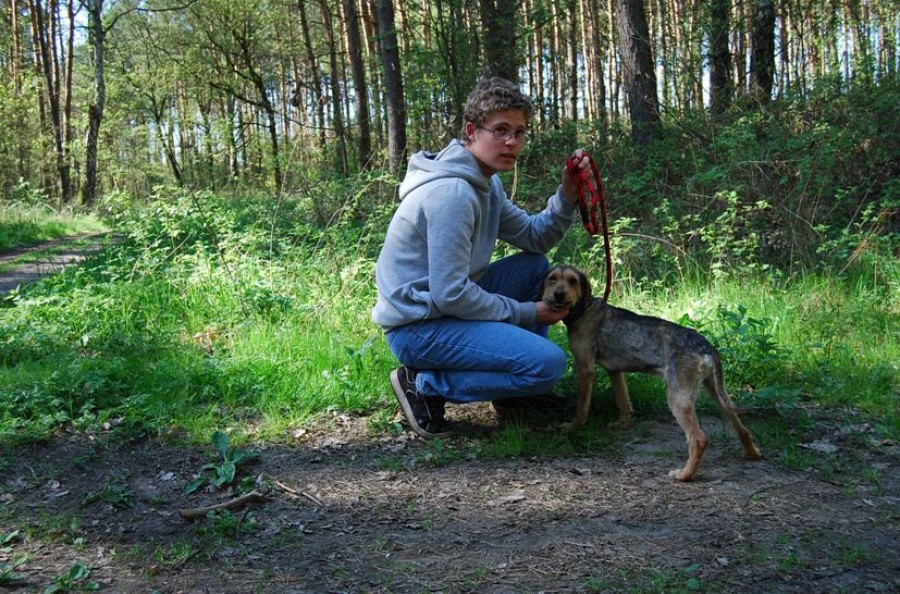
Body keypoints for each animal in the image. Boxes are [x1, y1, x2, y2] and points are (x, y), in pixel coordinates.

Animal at [540, 266, 760, 478]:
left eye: (573, 281)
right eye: (552, 279)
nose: (558, 294)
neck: (584, 309)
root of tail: (706, 347)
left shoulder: (585, 368)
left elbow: (582, 407)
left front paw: (572, 428)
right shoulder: (614, 371)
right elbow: (623, 401)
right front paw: (623, 424)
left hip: (678, 398)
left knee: (699, 439)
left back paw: (684, 475)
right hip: (716, 392)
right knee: (741, 428)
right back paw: (752, 454)